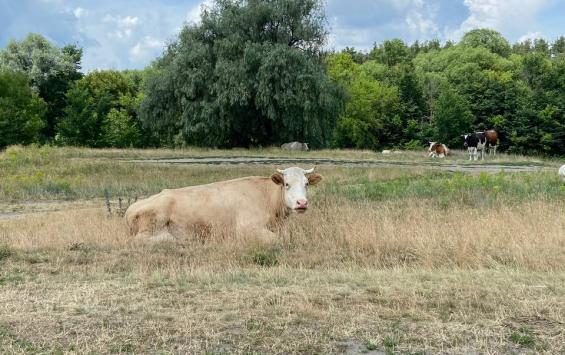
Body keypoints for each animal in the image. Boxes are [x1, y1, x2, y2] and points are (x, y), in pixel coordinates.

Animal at [126, 168, 324, 245]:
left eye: (306, 184)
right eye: (287, 184)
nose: (301, 203)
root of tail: (130, 208)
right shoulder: (246, 228)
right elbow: (277, 241)